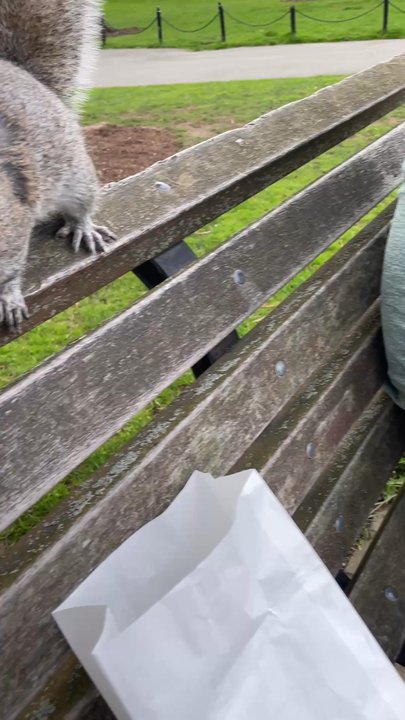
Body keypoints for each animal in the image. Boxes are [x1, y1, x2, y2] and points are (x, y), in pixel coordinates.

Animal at [0, 0, 115, 330]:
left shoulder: (12, 220)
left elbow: (10, 269)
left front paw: (8, 297)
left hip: (75, 174)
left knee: (81, 205)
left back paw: (83, 227)